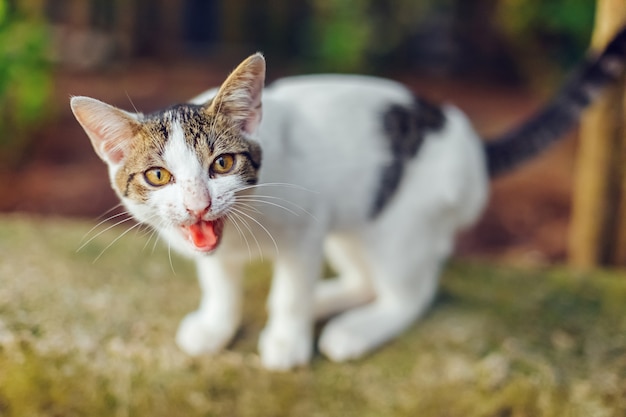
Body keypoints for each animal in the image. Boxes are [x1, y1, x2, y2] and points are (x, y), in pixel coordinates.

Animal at [68, 27, 624, 368]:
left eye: (222, 165)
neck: (242, 225)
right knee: (364, 275)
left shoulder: (307, 225)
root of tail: (467, 138)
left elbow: (289, 289)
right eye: (158, 176)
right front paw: (216, 325)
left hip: (401, 222)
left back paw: (354, 329)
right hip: (358, 216)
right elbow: (220, 279)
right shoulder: (217, 243)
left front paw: (287, 341)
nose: (199, 205)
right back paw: (330, 298)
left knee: (410, 291)